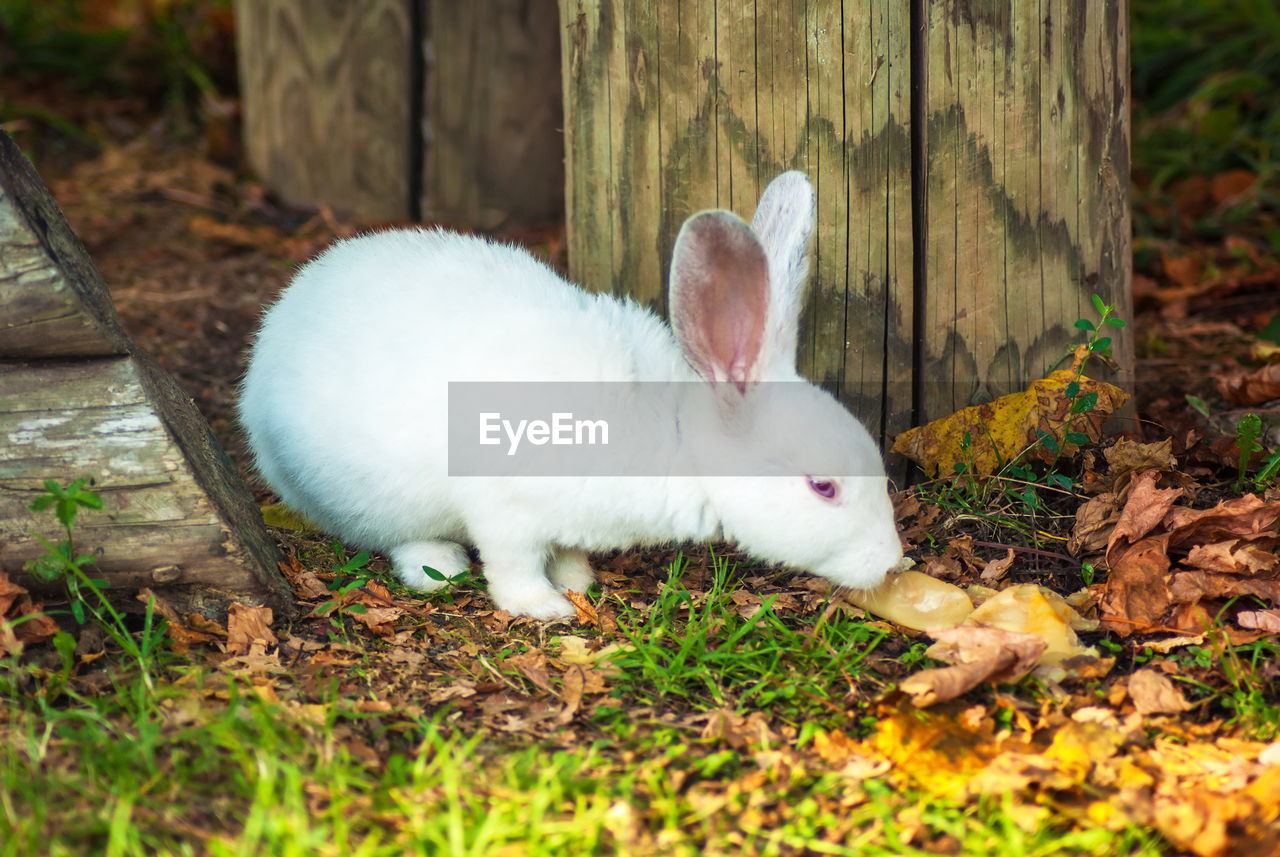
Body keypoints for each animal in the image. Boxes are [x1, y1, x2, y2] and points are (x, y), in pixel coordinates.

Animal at [238, 172, 901, 619]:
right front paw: (546, 607)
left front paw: (580, 581)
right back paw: (441, 570)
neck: (675, 442)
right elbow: (513, 565)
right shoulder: (505, 508)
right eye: (823, 487)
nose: (893, 562)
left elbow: (565, 551)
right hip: (371, 499)